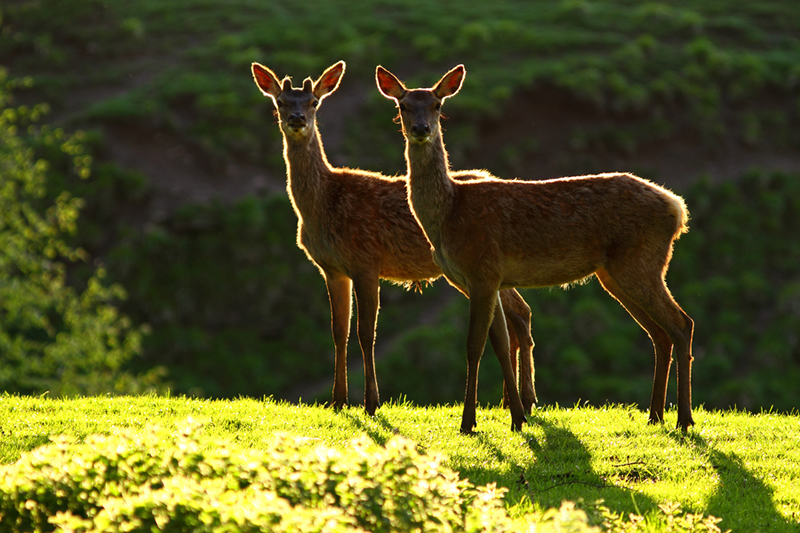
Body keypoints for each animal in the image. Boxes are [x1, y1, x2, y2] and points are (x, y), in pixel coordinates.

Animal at [250, 60, 536, 424]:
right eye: (280, 102)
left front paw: (371, 402)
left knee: (521, 313)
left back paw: (526, 400)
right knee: (517, 314)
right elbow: (338, 330)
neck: (322, 205)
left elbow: (364, 333)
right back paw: (511, 401)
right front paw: (337, 401)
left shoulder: (365, 259)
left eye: (314, 102)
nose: (297, 119)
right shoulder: (332, 268)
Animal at [376, 64, 692, 434]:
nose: (421, 129)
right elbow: (500, 342)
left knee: (681, 324)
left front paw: (469, 422)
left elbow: (474, 345)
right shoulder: (484, 280)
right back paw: (655, 414)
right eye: (403, 106)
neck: (448, 215)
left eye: (437, 105)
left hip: (640, 261)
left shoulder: (483, 271)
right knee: (660, 333)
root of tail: (677, 208)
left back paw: (684, 418)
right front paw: (516, 416)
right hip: (615, 273)